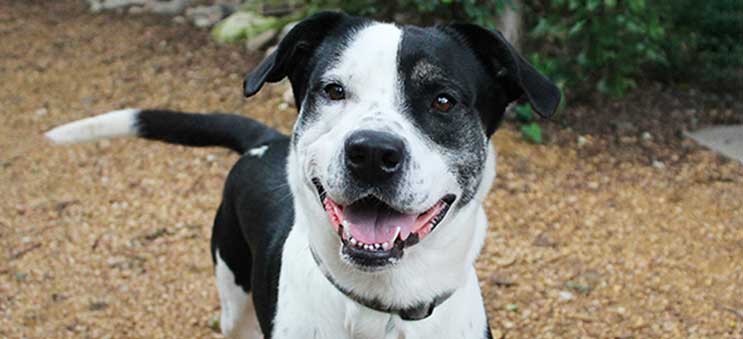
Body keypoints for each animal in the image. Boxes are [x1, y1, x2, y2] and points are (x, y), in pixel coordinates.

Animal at [45, 11, 560, 339]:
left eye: (443, 101)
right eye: (333, 90)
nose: (372, 153)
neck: (380, 307)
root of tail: (265, 140)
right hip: (232, 292)